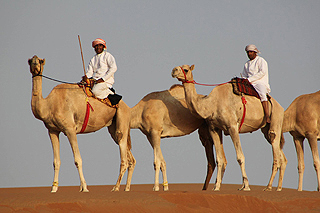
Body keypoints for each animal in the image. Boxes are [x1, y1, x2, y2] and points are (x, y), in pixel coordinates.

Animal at [28, 55, 136, 193]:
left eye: (40, 61)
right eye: (30, 61)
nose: (35, 65)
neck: (49, 105)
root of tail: (128, 107)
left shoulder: (70, 129)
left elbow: (78, 160)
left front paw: (84, 187)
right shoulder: (52, 130)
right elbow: (56, 161)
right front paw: (54, 188)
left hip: (122, 118)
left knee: (124, 157)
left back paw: (116, 187)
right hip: (113, 126)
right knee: (130, 158)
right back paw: (126, 188)